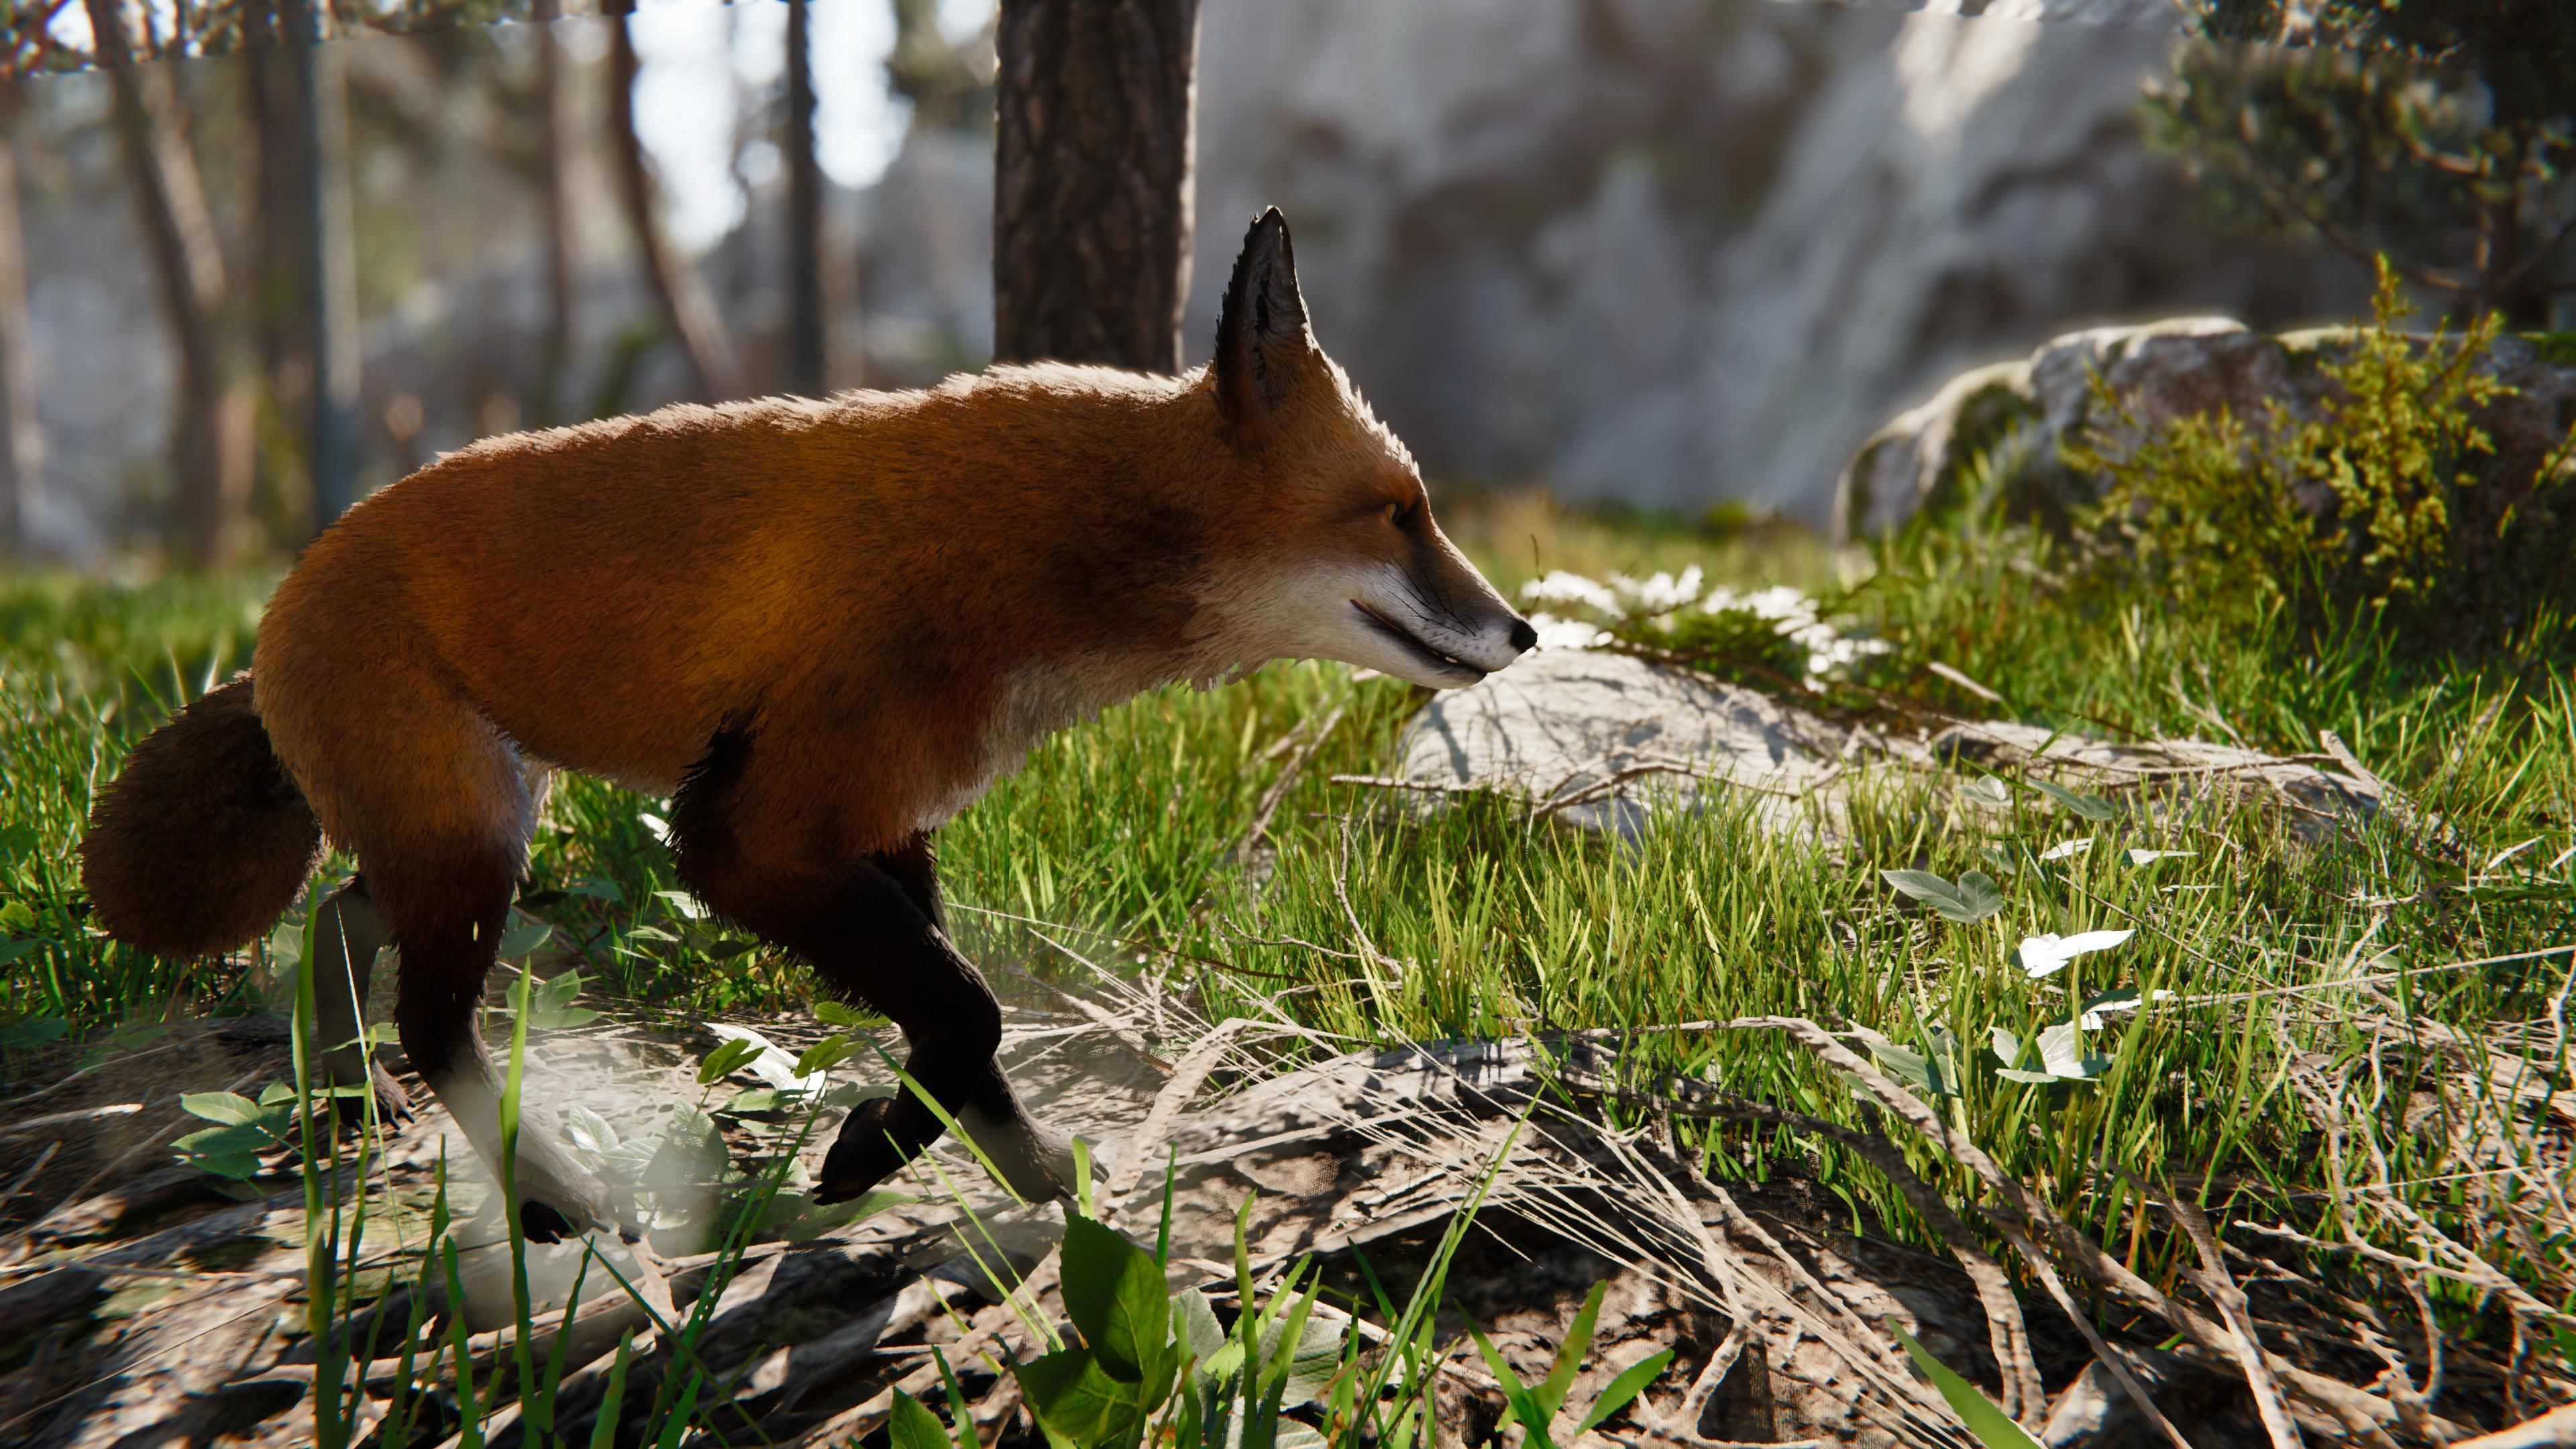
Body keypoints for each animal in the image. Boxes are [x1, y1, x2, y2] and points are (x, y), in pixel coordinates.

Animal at [78, 210, 1536, 1240]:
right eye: (1401, 514)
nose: (1524, 632)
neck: (1026, 552)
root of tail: (279, 604)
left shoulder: (883, 823)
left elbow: (961, 1036)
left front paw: (1013, 1174)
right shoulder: (749, 836)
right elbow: (969, 1013)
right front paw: (884, 1160)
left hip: (460, 828)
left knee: (338, 923)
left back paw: (342, 1098)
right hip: (475, 841)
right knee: (433, 1024)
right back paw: (543, 1194)